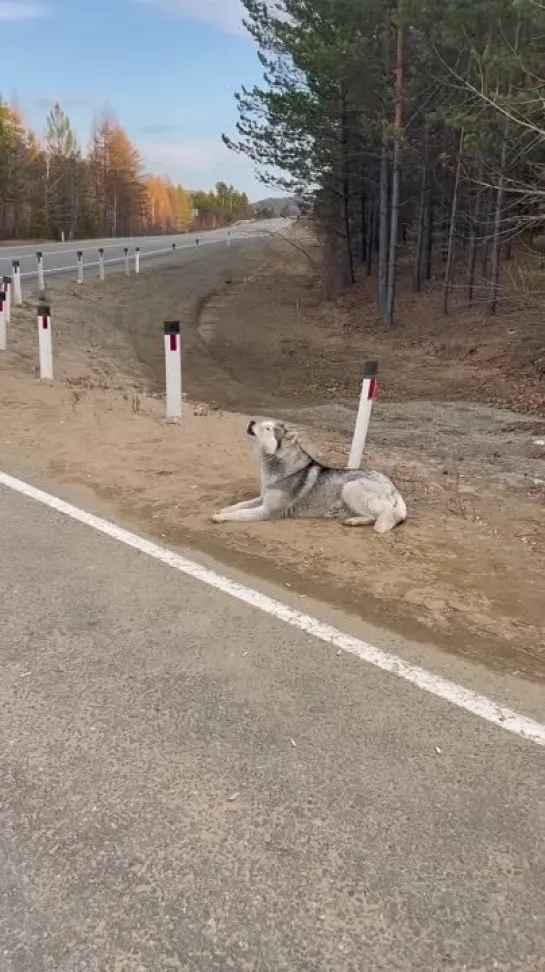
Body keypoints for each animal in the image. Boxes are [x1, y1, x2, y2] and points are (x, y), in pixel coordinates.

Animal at [210, 418, 406, 536]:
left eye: (267, 428)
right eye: (261, 422)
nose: (251, 421)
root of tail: (393, 487)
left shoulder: (266, 510)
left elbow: (240, 513)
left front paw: (220, 517)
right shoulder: (262, 498)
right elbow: (239, 505)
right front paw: (223, 510)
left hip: (350, 487)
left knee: (382, 515)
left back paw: (357, 521)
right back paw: (352, 519)